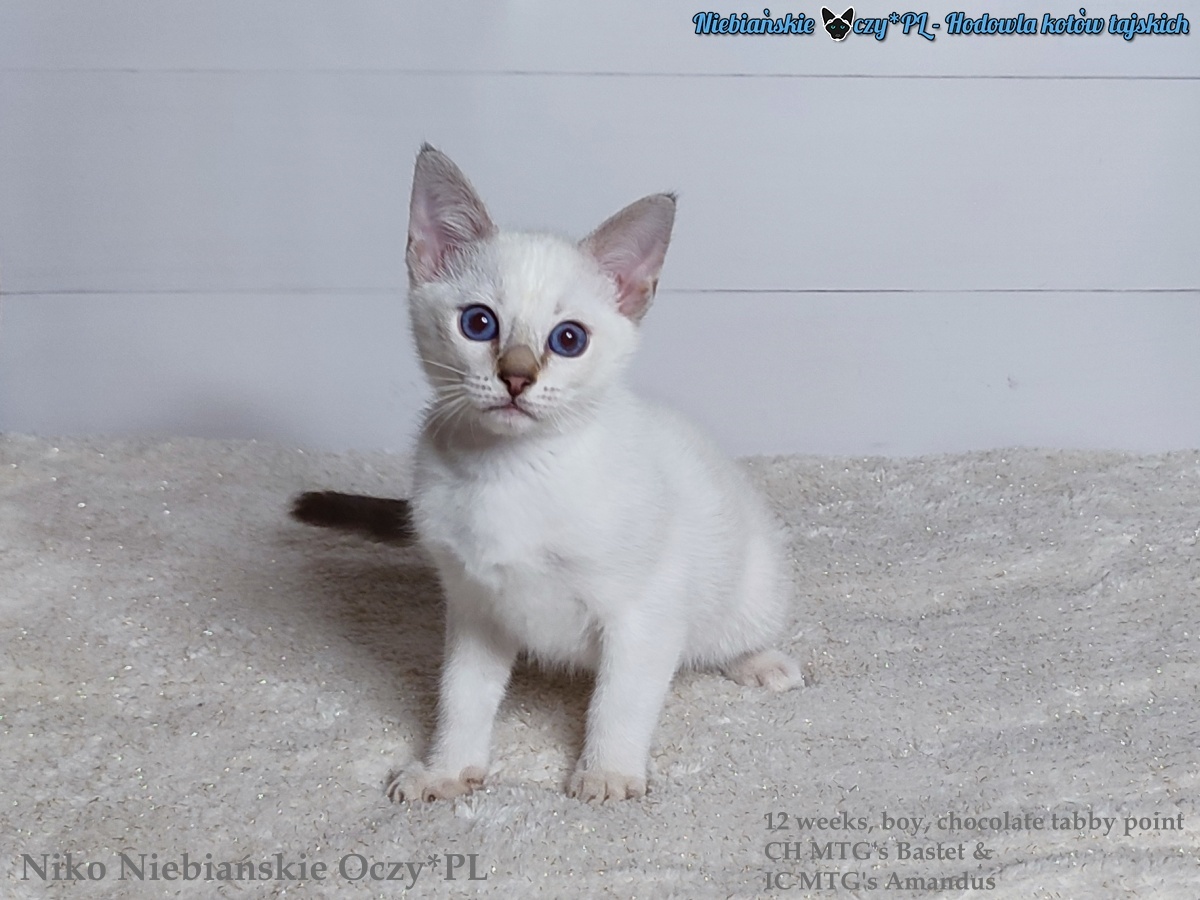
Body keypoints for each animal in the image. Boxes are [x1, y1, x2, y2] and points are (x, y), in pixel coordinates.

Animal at [295, 145, 802, 802]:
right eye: (479, 324)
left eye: (568, 339)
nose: (516, 377)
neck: (513, 473)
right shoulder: (474, 608)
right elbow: (462, 699)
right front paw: (447, 770)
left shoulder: (644, 613)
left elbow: (620, 701)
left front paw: (607, 774)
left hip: (749, 586)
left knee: (725, 637)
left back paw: (762, 664)